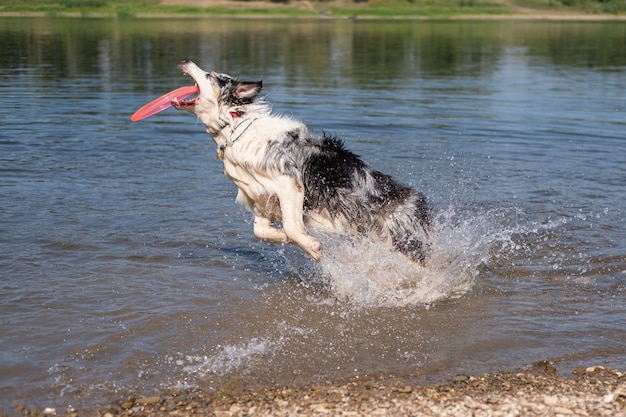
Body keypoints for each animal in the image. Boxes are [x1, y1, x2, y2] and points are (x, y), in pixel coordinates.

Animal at [173, 59, 432, 264]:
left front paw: (312, 247)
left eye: (211, 75)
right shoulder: (259, 196)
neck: (236, 126)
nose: (185, 60)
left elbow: (291, 225)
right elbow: (260, 231)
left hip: (405, 243)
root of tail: (419, 202)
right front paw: (286, 239)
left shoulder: (288, 182)